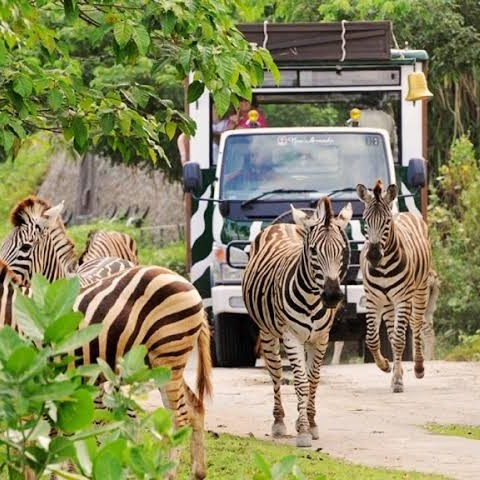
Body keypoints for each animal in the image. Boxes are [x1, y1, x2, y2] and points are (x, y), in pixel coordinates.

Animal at [0, 258, 212, 480]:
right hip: (162, 364)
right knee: (195, 407)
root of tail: (185, 281)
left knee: (178, 420)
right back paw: (198, 472)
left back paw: (168, 475)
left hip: (168, 355)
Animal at [242, 198, 350, 446]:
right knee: (275, 373)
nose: (332, 296)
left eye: (342, 250)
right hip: (268, 333)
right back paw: (279, 421)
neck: (311, 298)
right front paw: (302, 431)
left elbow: (313, 381)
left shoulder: (321, 338)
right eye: (313, 251)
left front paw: (311, 423)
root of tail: (283, 225)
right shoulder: (292, 337)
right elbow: (300, 381)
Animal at [354, 180, 434, 394]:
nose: (373, 255)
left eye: (386, 222)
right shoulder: (372, 299)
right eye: (365, 220)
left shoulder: (403, 298)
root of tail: (404, 213)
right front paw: (385, 366)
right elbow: (372, 338)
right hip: (388, 302)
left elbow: (399, 339)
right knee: (391, 331)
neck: (382, 268)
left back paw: (418, 367)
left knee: (416, 325)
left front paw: (397, 381)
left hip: (420, 291)